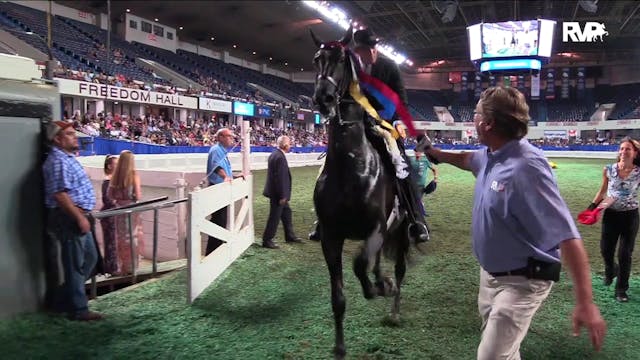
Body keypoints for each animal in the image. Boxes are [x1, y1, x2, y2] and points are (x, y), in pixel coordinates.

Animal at [312, 26, 412, 358]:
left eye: (342, 60)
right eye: (316, 60)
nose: (323, 97)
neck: (351, 167)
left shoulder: (376, 227)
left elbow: (358, 264)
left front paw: (378, 288)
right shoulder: (331, 237)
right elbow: (339, 297)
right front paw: (340, 346)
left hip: (402, 231)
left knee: (400, 269)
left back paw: (393, 308)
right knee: (378, 260)